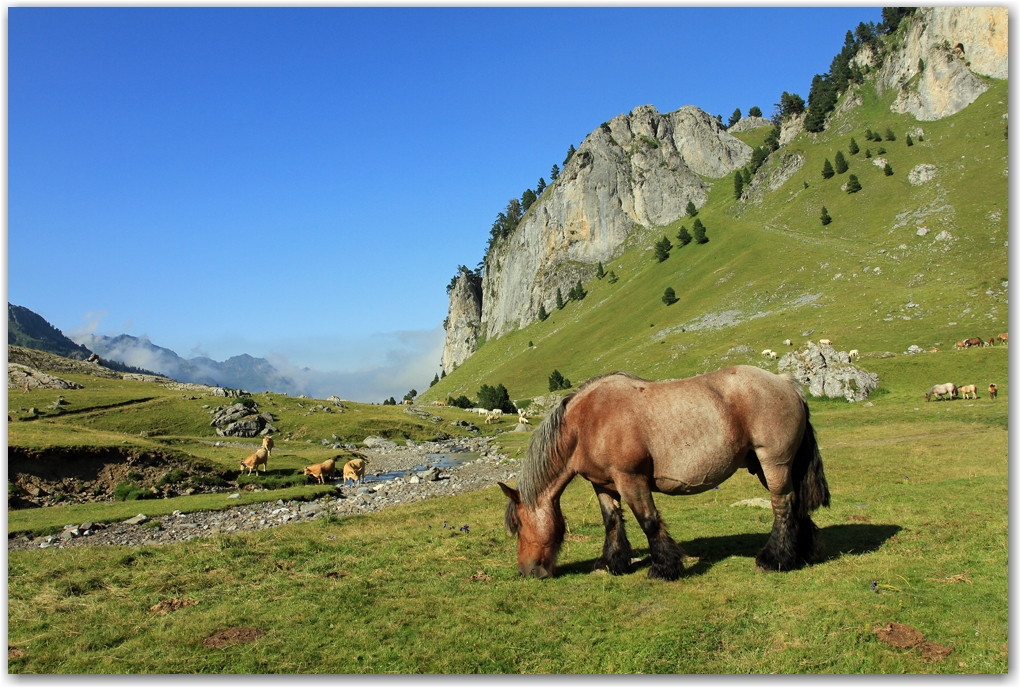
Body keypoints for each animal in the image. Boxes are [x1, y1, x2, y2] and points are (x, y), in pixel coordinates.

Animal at [499, 362, 828, 578]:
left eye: (520, 526)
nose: (526, 572)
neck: (588, 422)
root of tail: (785, 382)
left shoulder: (631, 479)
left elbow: (648, 521)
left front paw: (664, 567)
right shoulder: (602, 484)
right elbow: (612, 522)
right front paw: (613, 563)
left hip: (774, 463)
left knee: (782, 505)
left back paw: (775, 559)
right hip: (768, 466)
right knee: (796, 505)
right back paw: (802, 553)